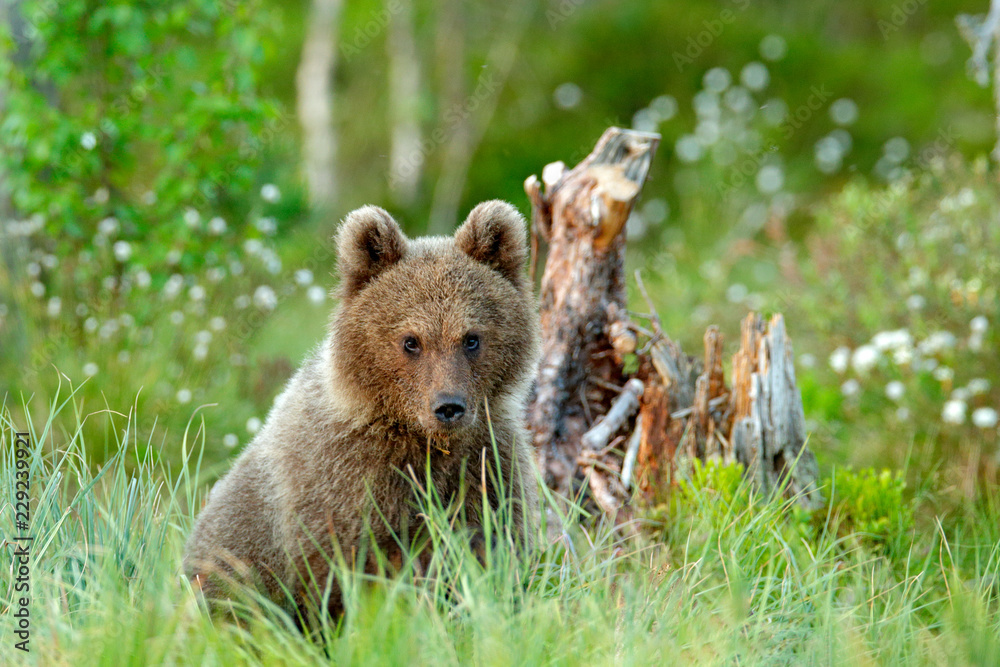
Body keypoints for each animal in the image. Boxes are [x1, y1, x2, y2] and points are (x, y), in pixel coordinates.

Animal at [183, 200, 541, 619]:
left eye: (471, 338)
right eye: (411, 341)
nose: (449, 407)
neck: (416, 438)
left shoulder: (485, 465)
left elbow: (487, 550)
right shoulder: (342, 480)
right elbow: (340, 573)